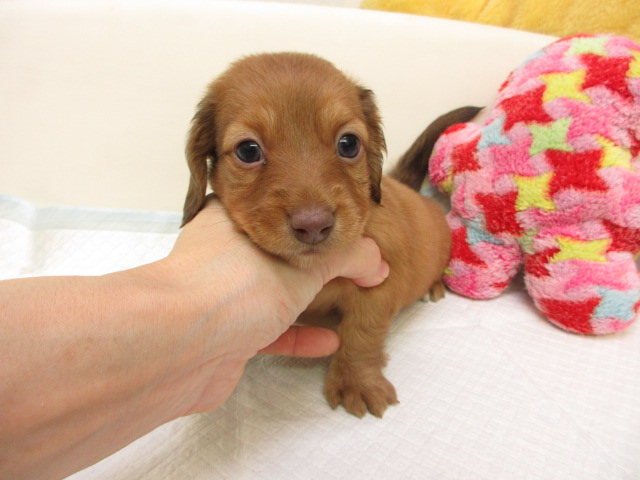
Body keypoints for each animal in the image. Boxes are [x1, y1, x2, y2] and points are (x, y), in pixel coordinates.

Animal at [182, 52, 477, 417]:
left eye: (348, 144)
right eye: (248, 150)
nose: (313, 225)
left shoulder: (377, 285)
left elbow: (361, 335)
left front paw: (356, 381)